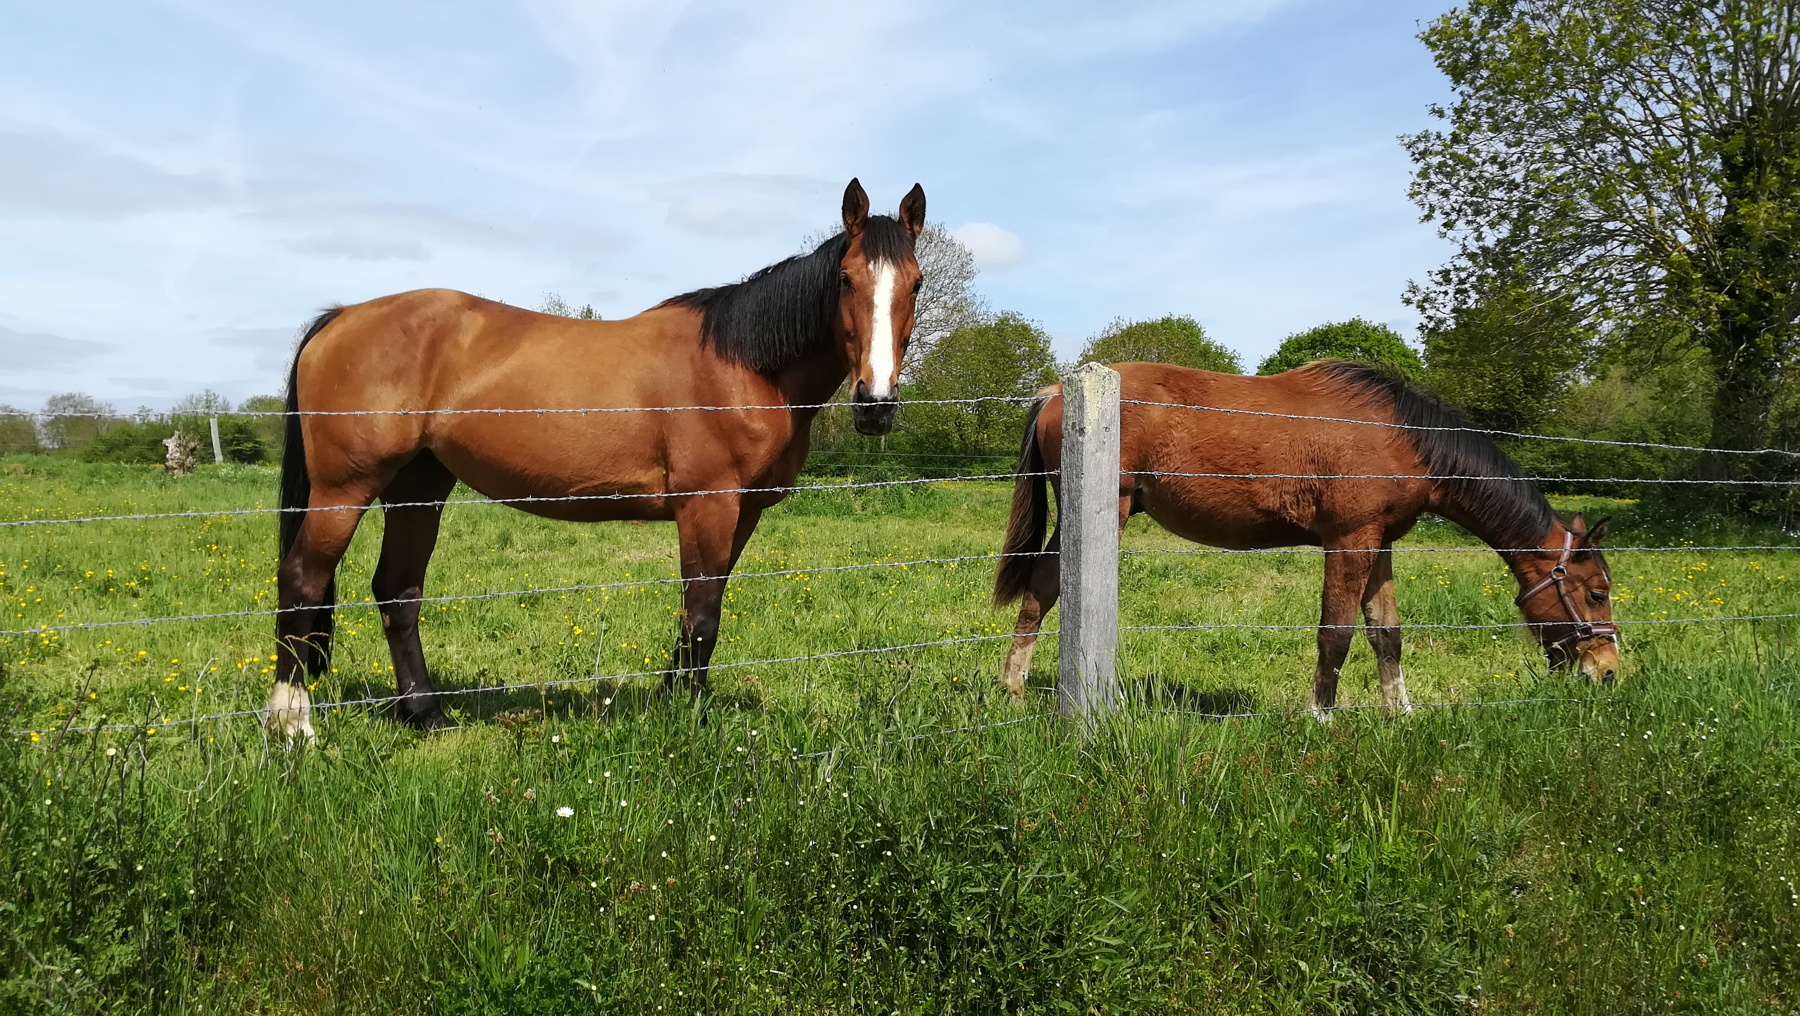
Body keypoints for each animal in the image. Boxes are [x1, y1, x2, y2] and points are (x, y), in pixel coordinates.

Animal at [266, 179, 927, 738]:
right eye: (846, 278)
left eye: (917, 282)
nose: (875, 405)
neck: (743, 365)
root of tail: (341, 317)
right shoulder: (707, 506)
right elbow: (701, 614)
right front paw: (684, 718)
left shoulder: (742, 513)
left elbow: (702, 611)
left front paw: (675, 700)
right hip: (344, 490)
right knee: (303, 581)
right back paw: (293, 724)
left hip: (418, 487)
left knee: (397, 591)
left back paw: (426, 716)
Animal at [993, 360, 1620, 715]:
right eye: (1596, 593)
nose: (1610, 671)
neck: (1403, 437)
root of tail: (1054, 392)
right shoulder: (1348, 541)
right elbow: (1335, 635)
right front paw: (1321, 717)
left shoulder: (1379, 543)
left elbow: (1386, 634)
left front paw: (1400, 714)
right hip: (1107, 513)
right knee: (1044, 587)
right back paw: (1016, 691)